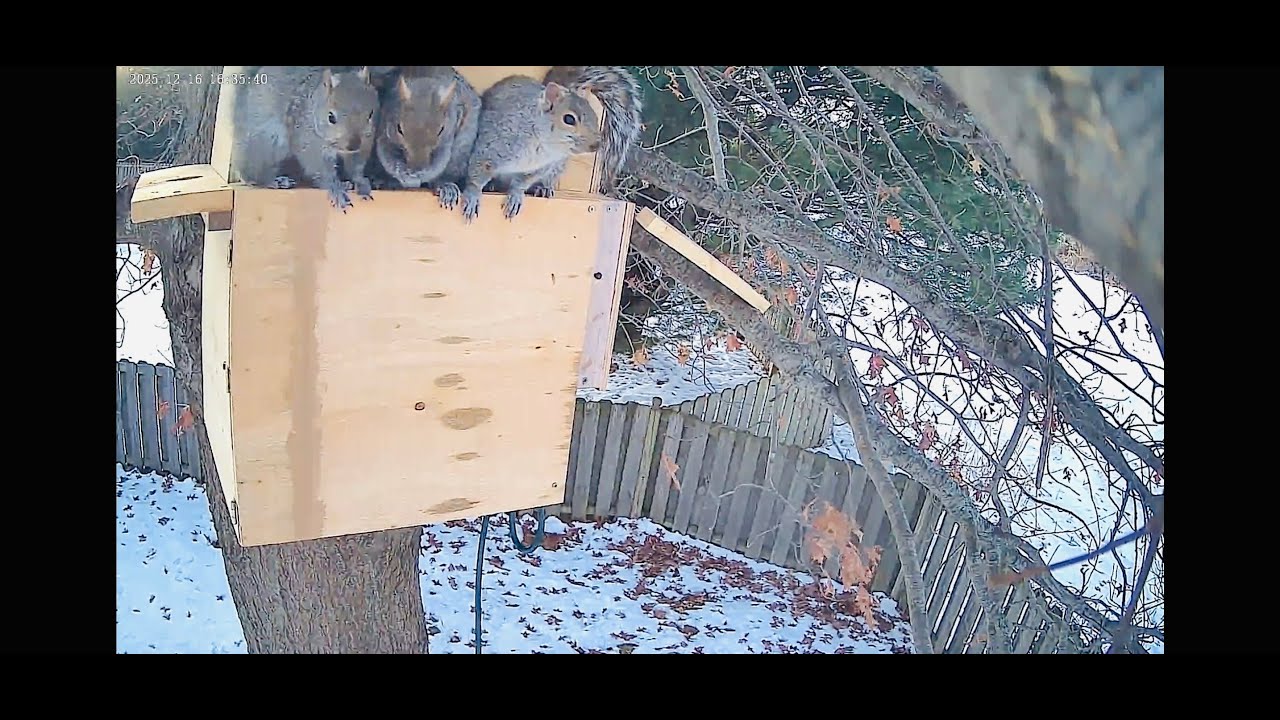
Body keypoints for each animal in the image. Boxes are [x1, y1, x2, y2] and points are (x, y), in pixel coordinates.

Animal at [230, 66, 379, 212]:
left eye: (371, 114)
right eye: (331, 117)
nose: (354, 145)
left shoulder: (364, 144)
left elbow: (356, 167)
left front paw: (360, 182)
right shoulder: (309, 143)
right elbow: (321, 170)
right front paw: (335, 190)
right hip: (270, 142)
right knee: (254, 175)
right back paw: (274, 181)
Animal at [373, 66, 481, 209]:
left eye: (441, 129)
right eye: (399, 129)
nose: (416, 169)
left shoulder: (449, 136)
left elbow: (439, 164)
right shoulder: (385, 130)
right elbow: (388, 158)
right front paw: (404, 174)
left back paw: (446, 187)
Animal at [460, 66, 642, 222]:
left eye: (596, 117)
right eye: (569, 119)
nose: (596, 145)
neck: (544, 146)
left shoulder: (539, 168)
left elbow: (522, 182)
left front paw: (516, 195)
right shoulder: (492, 145)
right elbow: (478, 171)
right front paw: (473, 195)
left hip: (556, 168)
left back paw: (543, 188)